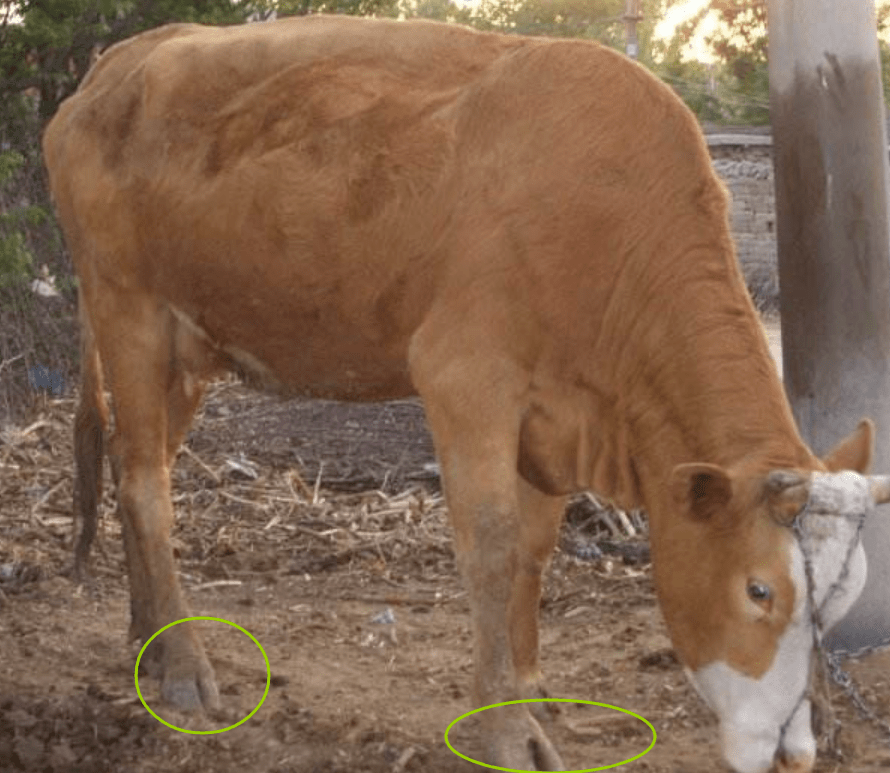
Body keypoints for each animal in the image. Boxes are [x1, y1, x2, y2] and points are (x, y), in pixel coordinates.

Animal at [43, 16, 888, 772]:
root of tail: (123, 57)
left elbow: (534, 552)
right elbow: (490, 544)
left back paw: (146, 640)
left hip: (188, 343)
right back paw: (184, 663)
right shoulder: (464, 374)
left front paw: (530, 688)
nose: (795, 750)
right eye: (759, 589)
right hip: (127, 308)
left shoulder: (555, 417)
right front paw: (508, 729)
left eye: (843, 595)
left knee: (132, 463)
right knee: (146, 484)